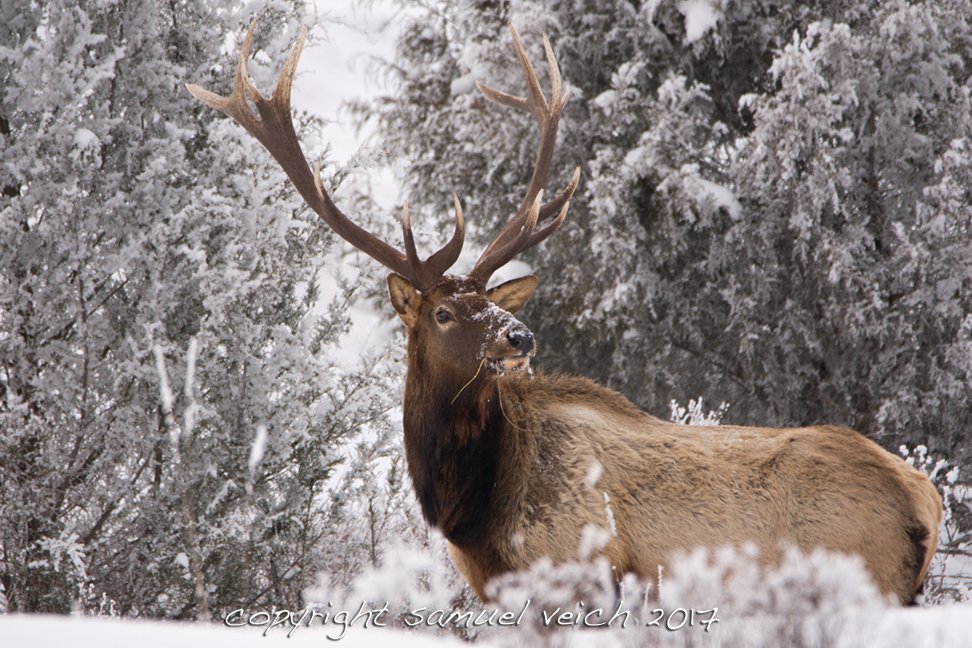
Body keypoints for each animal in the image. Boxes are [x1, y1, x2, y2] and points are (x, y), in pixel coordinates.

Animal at [187, 22, 943, 605]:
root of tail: (927, 503)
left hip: (857, 576)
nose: (520, 335)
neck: (473, 509)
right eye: (445, 313)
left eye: (489, 304)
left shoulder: (579, 569)